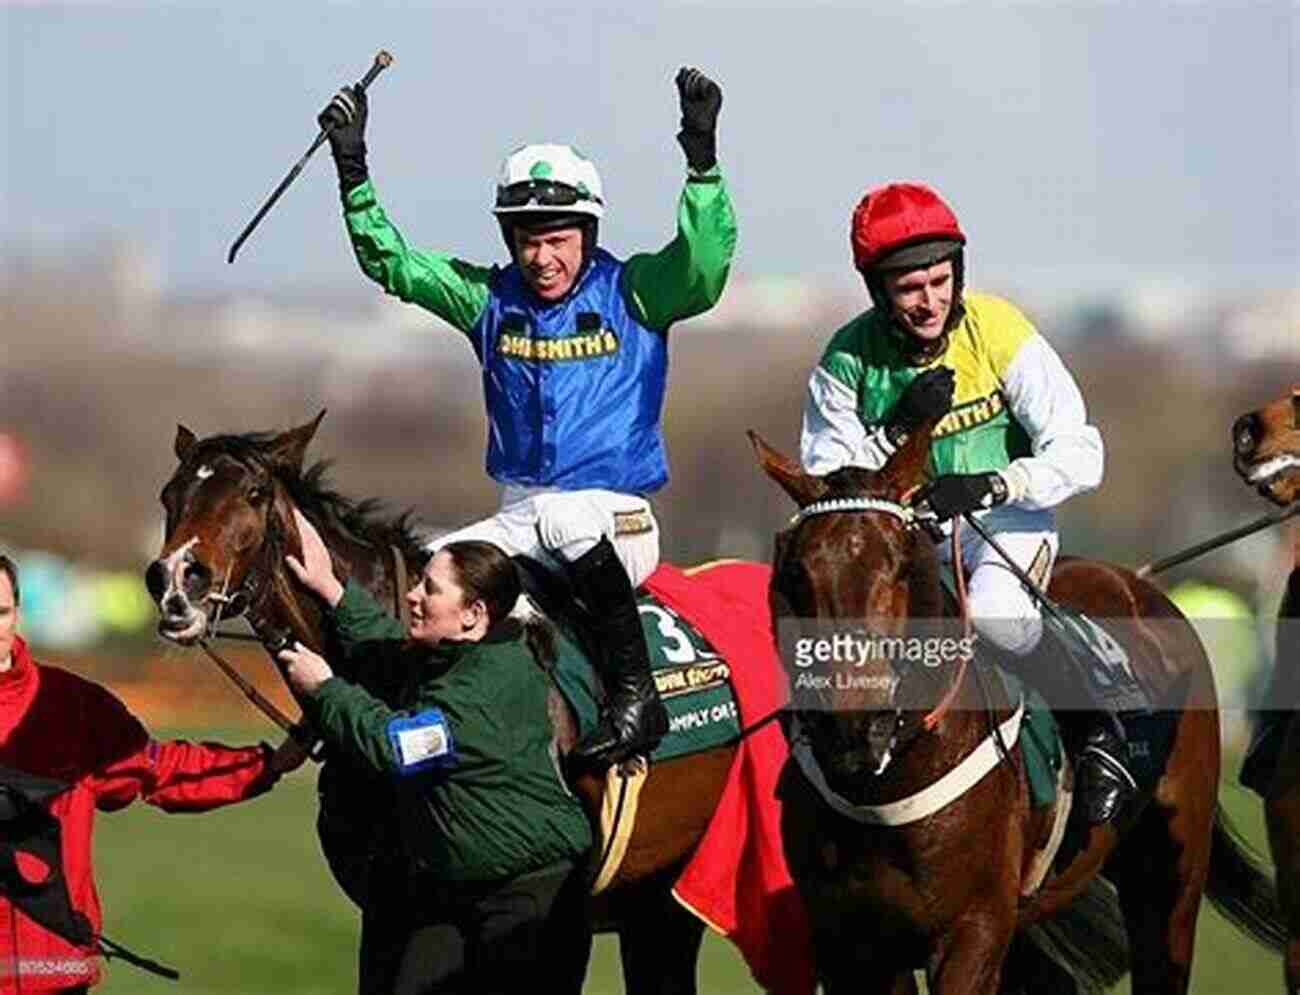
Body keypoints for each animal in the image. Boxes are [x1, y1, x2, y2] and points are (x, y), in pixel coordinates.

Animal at [141, 413, 738, 993]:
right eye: (170, 494)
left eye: (255, 492)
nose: (176, 582)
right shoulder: (391, 912)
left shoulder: (558, 927)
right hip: (658, 908)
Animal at [748, 421, 1284, 993]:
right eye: (796, 570)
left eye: (899, 565)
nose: (854, 726)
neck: (887, 792)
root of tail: (1139, 586)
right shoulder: (850, 947)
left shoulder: (974, 930)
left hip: (1168, 872)